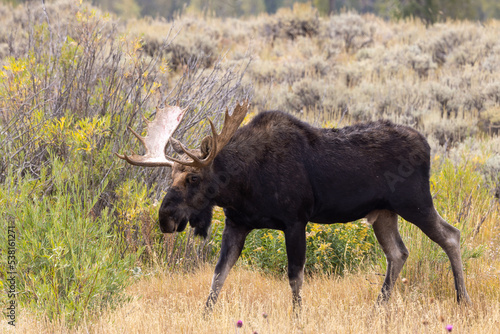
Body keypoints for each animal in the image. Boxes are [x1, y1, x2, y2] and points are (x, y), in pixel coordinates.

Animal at [117, 102, 472, 310]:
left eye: (192, 177)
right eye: (171, 176)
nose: (165, 218)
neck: (241, 182)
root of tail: (427, 144)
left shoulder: (295, 221)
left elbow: (295, 276)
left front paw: (297, 316)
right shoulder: (237, 223)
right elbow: (218, 275)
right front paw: (206, 314)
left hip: (415, 202)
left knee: (451, 235)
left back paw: (463, 300)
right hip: (384, 213)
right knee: (398, 253)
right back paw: (378, 307)